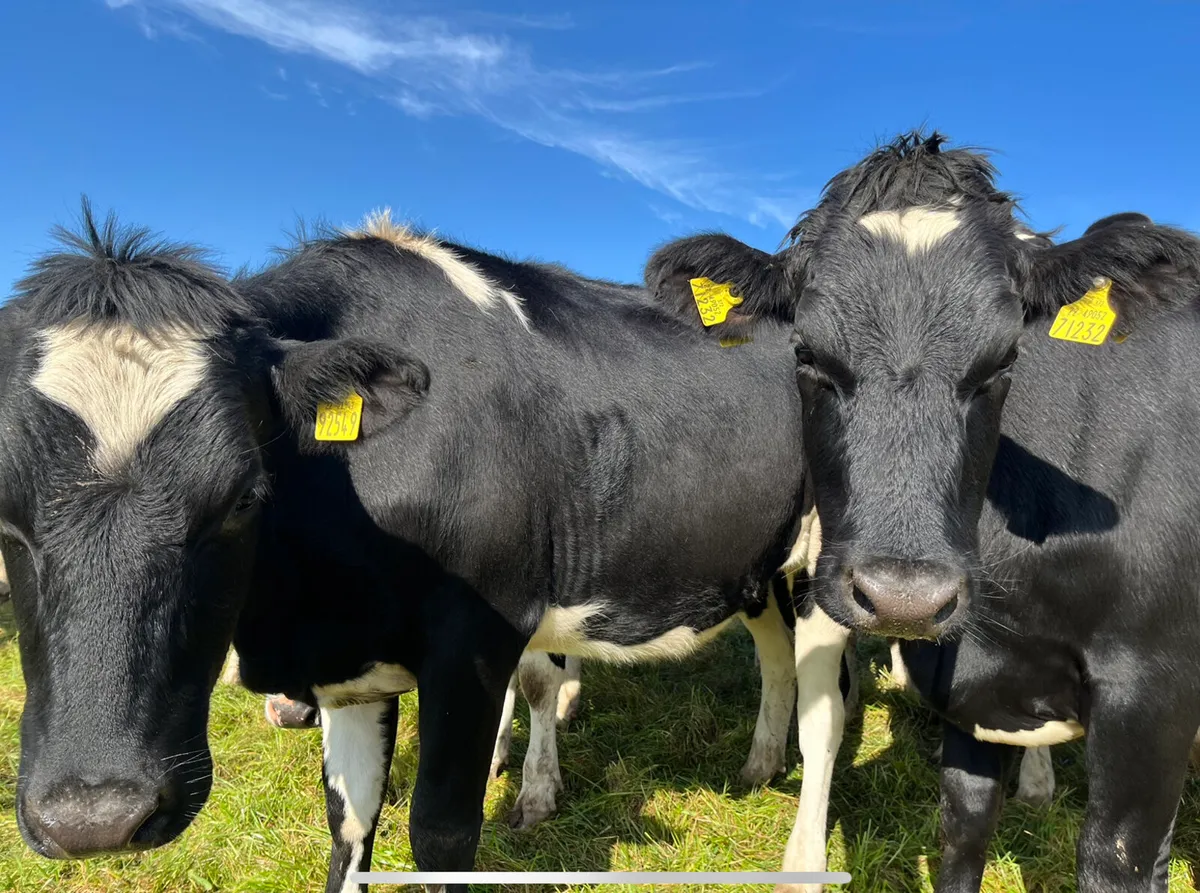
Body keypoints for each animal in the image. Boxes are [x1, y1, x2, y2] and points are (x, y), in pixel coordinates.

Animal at [0, 201, 850, 893]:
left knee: (828, 711)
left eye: (243, 494)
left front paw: (528, 790)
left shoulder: (477, 640)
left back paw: (803, 859)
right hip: (757, 558)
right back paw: (759, 762)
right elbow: (350, 824)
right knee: (775, 655)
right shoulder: (350, 667)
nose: (94, 817)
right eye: (3, 510)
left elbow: (442, 829)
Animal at [644, 129, 1200, 892]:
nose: (905, 597)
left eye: (1006, 358)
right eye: (806, 353)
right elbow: (958, 834)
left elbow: (1115, 859)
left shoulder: (1154, 694)